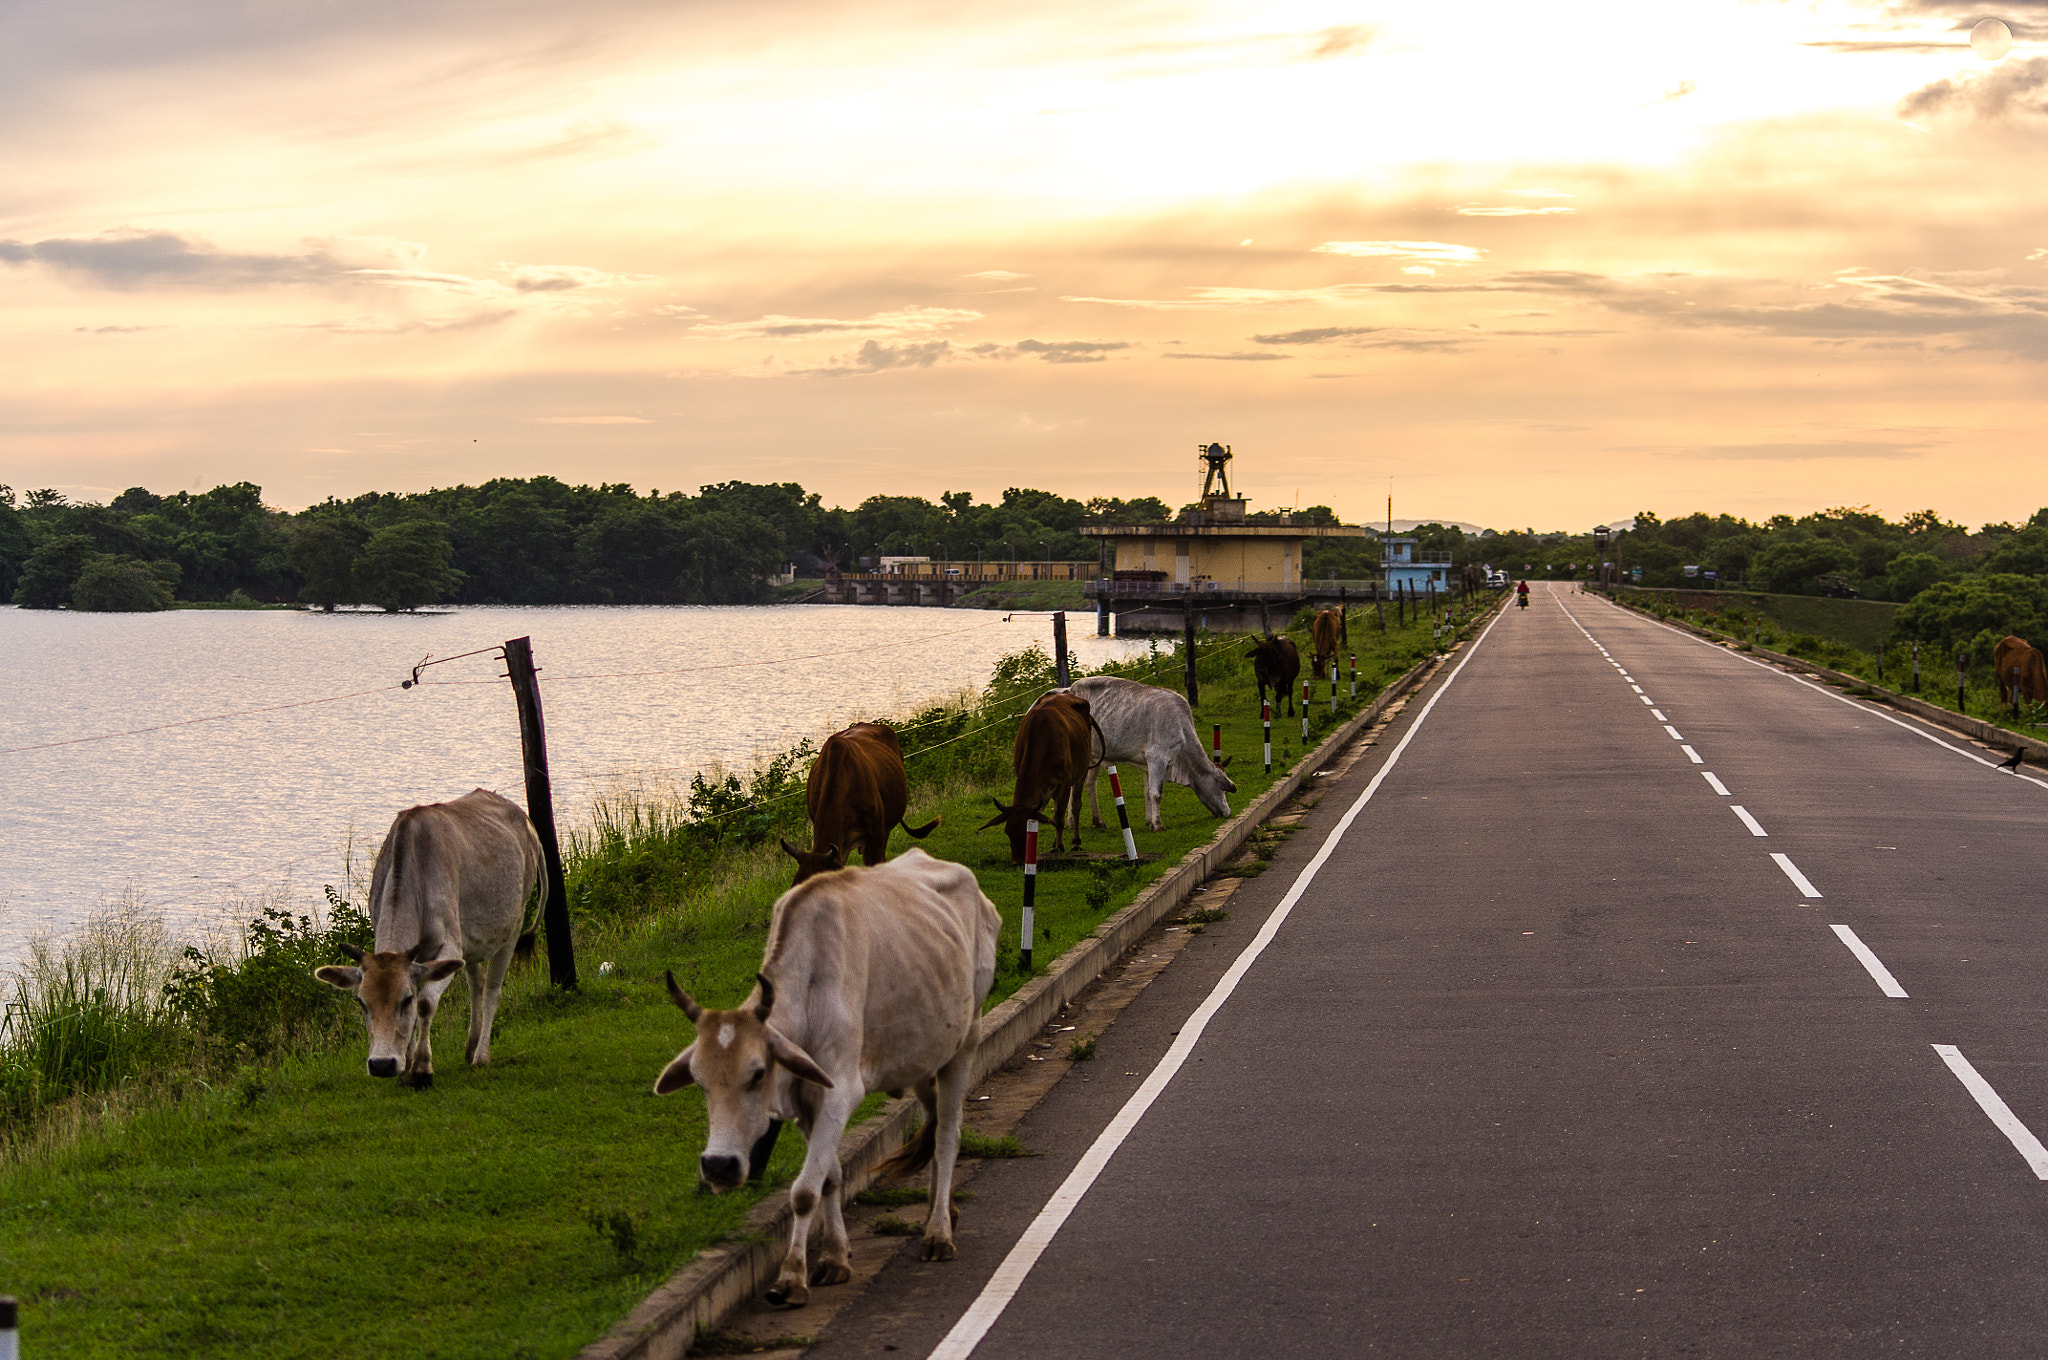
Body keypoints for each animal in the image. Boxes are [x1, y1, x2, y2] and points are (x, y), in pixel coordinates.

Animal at [311, 786, 544, 1081]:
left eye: (406, 1000)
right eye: (362, 1003)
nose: (381, 1064)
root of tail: (525, 821)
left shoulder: (450, 946)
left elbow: (426, 1004)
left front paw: (421, 1067)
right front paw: (407, 1063)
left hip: (512, 927)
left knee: (492, 989)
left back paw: (481, 1055)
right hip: (473, 941)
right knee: (475, 984)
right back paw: (470, 1045)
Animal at [651, 852, 995, 1310]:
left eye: (757, 1073)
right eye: (700, 1081)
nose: (719, 1166)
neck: (809, 988)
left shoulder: (839, 1093)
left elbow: (803, 1191)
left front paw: (791, 1277)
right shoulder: (805, 1105)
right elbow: (829, 1176)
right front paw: (834, 1256)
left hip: (964, 1041)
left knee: (947, 1136)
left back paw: (938, 1232)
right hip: (924, 1056)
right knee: (934, 1120)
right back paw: (944, 1211)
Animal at [978, 692, 1105, 860]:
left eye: (1025, 835)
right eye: (1008, 833)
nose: (1017, 862)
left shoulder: (1064, 782)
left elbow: (1059, 817)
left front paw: (1060, 847)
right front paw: (1053, 846)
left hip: (1082, 770)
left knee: (1076, 805)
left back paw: (1075, 842)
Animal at [1064, 675, 1236, 835]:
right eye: (1223, 788)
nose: (1227, 812)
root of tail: (1069, 690)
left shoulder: (1147, 764)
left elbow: (1147, 792)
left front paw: (1150, 822)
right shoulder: (1157, 759)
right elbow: (1156, 794)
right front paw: (1158, 825)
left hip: (1095, 756)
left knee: (1090, 784)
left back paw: (1097, 821)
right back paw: (1072, 823)